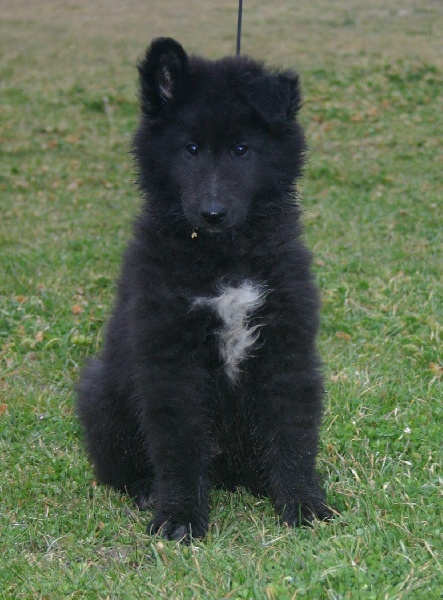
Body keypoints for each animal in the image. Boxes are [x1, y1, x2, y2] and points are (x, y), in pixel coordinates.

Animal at [76, 37, 333, 543]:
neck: (224, 257)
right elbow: (178, 444)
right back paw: (145, 490)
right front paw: (179, 516)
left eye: (241, 149)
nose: (212, 212)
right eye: (190, 149)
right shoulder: (171, 358)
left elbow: (292, 434)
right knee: (121, 466)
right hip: (101, 394)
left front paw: (302, 504)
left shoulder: (286, 345)